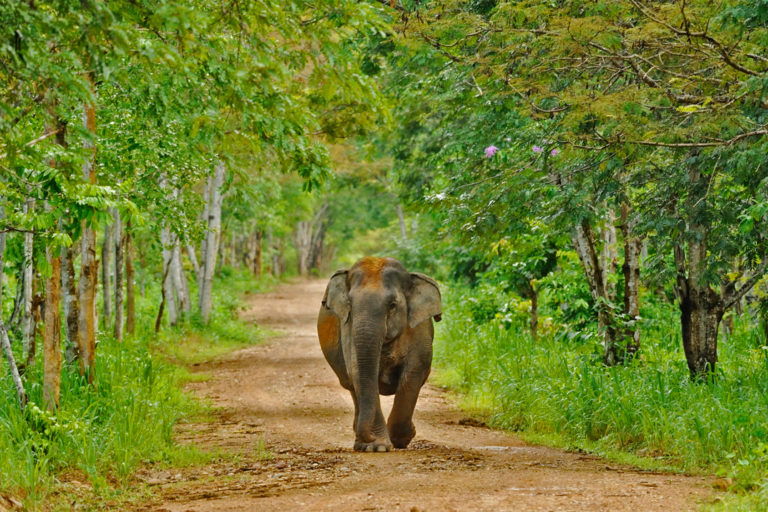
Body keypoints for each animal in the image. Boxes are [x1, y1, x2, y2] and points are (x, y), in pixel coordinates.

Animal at [316, 258, 440, 450]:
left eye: (393, 305)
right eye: (350, 305)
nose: (367, 437)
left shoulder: (420, 330)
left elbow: (412, 374)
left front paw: (401, 439)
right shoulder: (348, 329)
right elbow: (359, 373)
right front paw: (376, 446)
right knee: (352, 386)